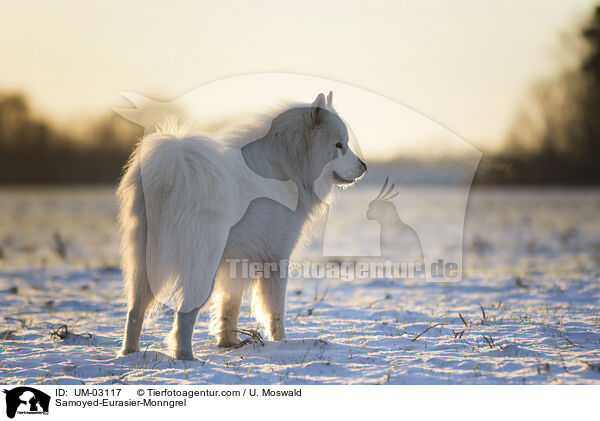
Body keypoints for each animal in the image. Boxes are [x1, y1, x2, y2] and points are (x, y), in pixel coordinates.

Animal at [117, 91, 366, 358]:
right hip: (201, 266)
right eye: (339, 145)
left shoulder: (236, 263)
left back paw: (129, 354)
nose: (364, 166)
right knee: (183, 315)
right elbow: (275, 310)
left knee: (135, 311)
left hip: (144, 264)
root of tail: (172, 176)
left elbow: (229, 307)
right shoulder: (277, 257)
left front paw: (229, 343)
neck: (287, 164)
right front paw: (282, 343)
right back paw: (186, 357)